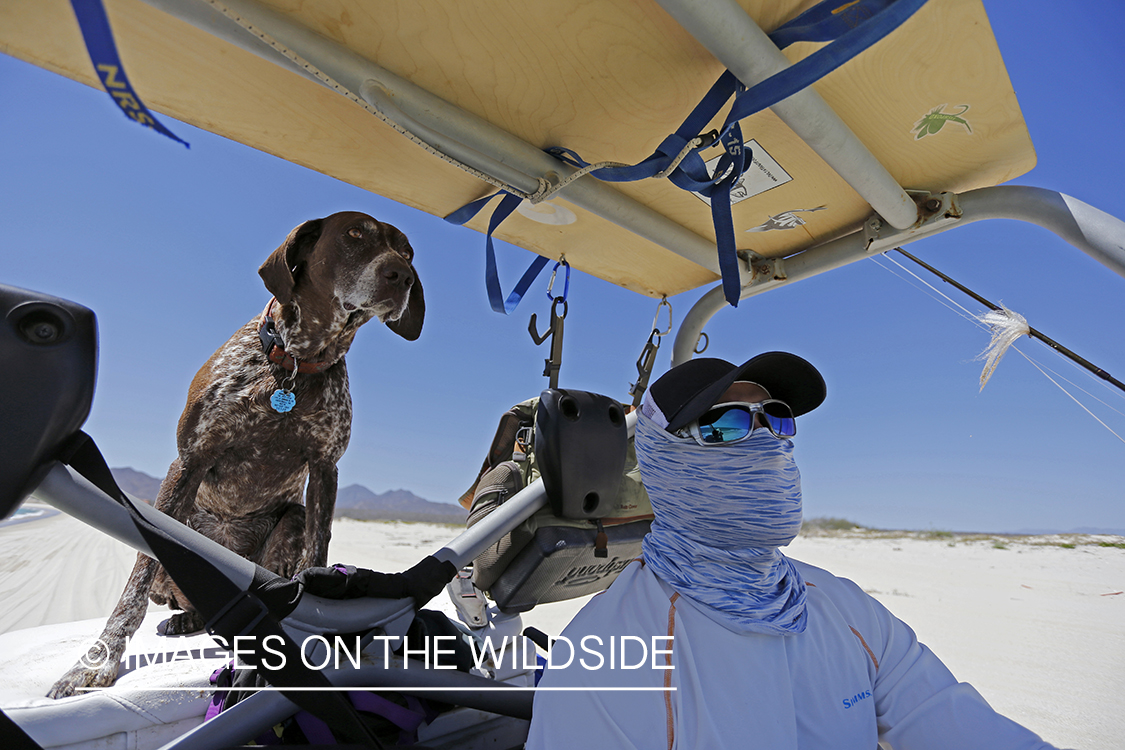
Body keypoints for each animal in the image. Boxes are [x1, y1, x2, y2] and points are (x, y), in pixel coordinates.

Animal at [47, 210, 425, 697]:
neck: (295, 362)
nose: (402, 276)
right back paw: (186, 619)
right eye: (354, 233)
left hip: (291, 520)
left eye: (408, 251)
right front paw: (100, 659)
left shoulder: (325, 469)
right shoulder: (191, 458)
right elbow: (138, 577)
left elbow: (317, 555)